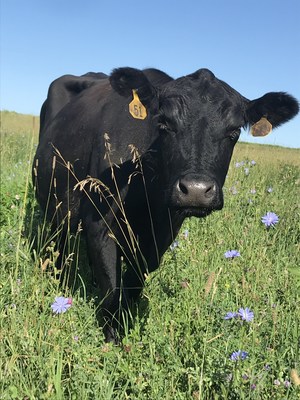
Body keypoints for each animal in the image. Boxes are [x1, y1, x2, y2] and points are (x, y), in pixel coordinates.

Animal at [32, 67, 298, 342]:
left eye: (233, 132)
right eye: (164, 123)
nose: (196, 190)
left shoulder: (163, 232)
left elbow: (135, 280)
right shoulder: (100, 222)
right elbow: (112, 286)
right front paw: (113, 337)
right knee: (59, 244)